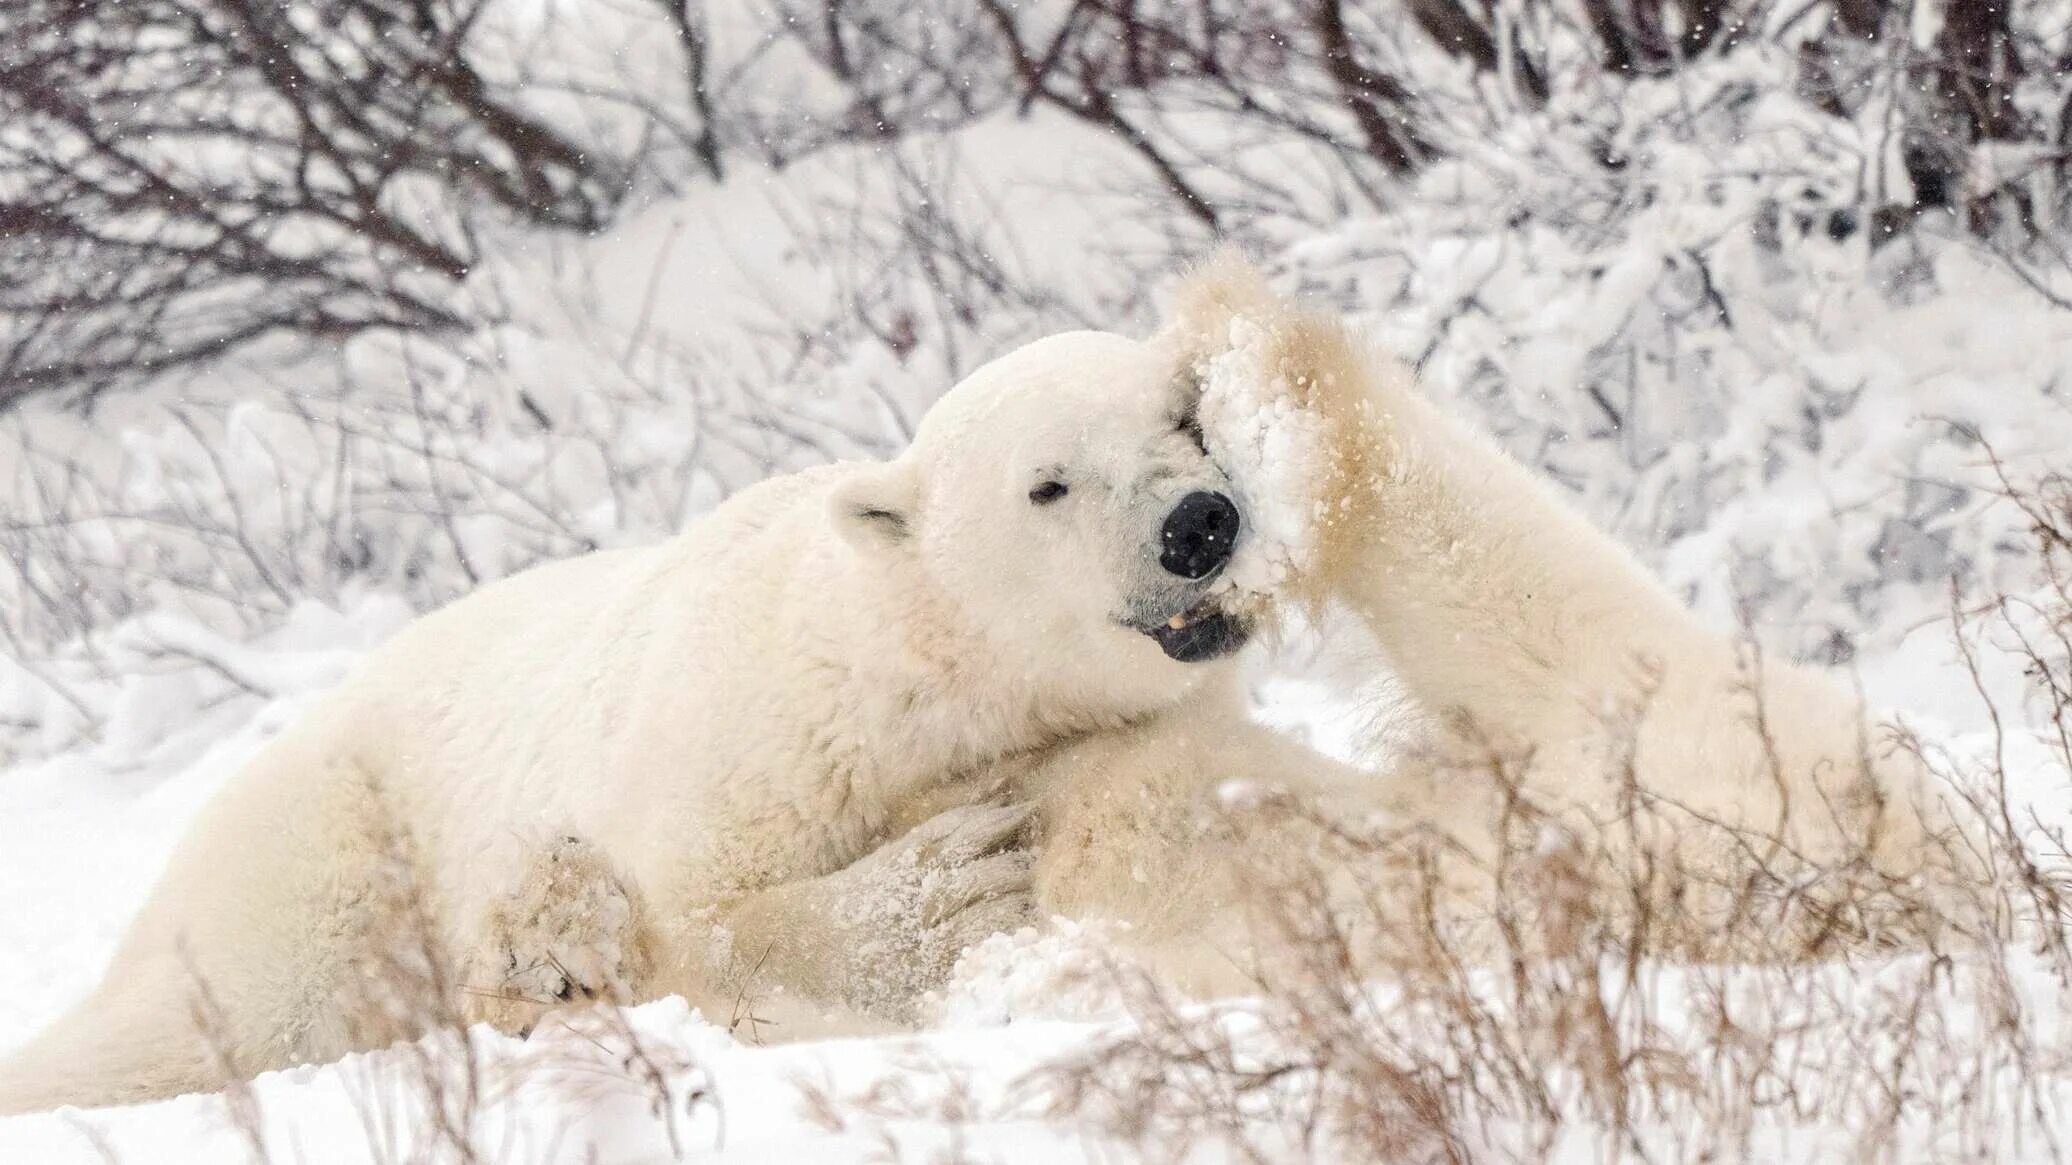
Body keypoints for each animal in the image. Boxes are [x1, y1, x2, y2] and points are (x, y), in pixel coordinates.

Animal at [0, 323, 1276, 1102]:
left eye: (1181, 420)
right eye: (1046, 482)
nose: (1197, 523)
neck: (914, 681)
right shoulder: (750, 732)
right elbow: (690, 918)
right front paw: (942, 884)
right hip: (326, 846)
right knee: (215, 1013)